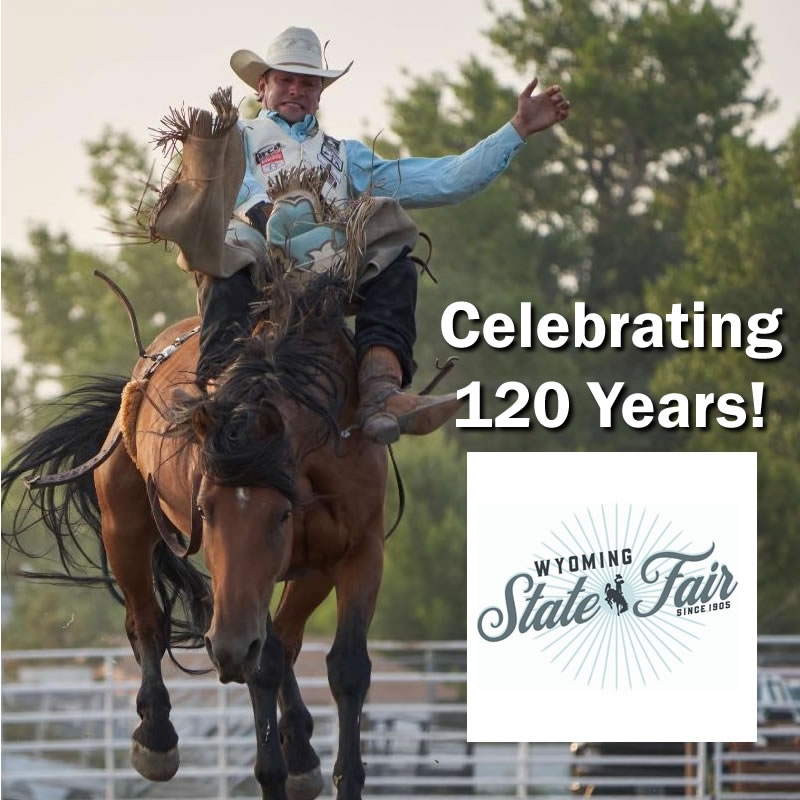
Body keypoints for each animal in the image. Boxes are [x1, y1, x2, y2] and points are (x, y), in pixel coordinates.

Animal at [2, 272, 390, 796]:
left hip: (310, 570)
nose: (225, 647)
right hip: (123, 528)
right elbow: (262, 663)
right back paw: (157, 739)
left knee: (287, 639)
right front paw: (270, 773)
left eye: (282, 515)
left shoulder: (358, 551)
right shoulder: (234, 579)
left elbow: (346, 667)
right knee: (147, 622)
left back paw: (301, 754)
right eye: (205, 509)